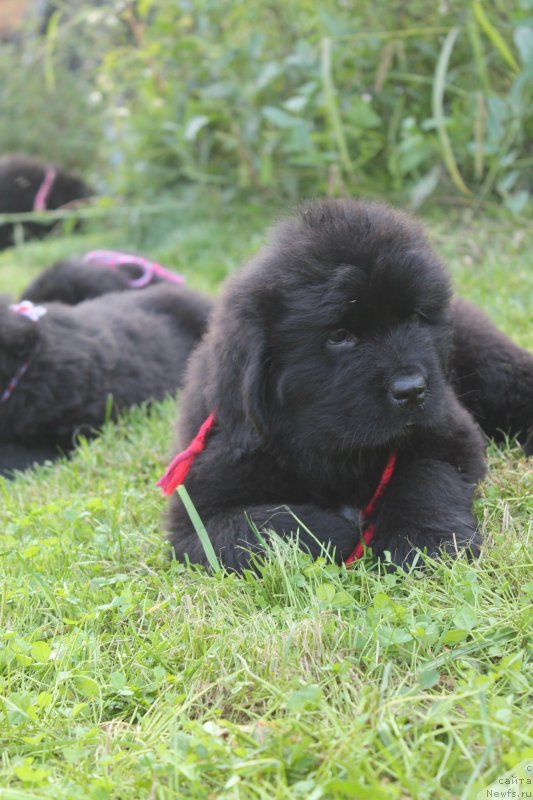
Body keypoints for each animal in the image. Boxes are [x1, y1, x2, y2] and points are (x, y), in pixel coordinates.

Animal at [164, 200, 528, 576]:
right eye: (339, 336)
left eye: (416, 318)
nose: (412, 390)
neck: (337, 451)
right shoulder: (194, 514)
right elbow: (258, 526)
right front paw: (339, 531)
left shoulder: (450, 433)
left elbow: (425, 476)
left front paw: (424, 542)